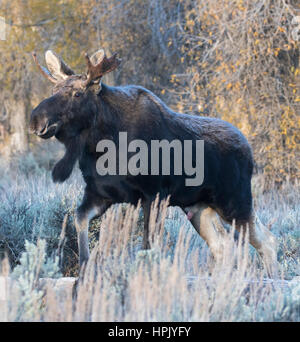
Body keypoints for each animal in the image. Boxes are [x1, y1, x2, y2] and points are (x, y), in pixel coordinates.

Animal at [29, 49, 278, 276]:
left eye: (78, 94)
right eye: (54, 90)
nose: (36, 120)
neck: (102, 146)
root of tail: (249, 149)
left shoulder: (154, 195)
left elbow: (147, 246)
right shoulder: (100, 194)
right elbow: (79, 220)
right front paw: (85, 268)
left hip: (234, 202)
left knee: (266, 240)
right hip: (199, 207)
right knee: (223, 245)